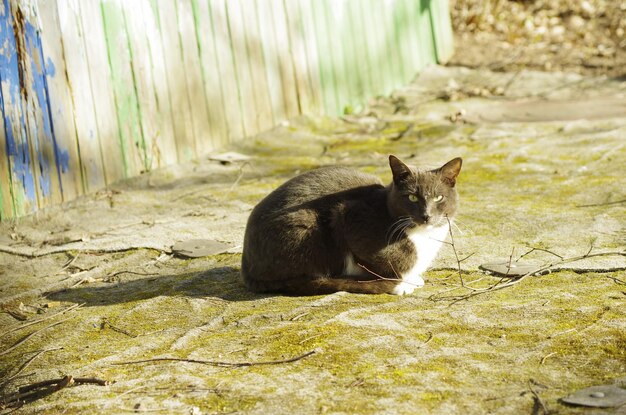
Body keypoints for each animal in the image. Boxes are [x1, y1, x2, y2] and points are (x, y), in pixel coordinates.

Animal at [241, 156, 460, 296]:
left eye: (439, 197)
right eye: (412, 197)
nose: (426, 216)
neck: (421, 236)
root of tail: (247, 268)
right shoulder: (349, 216)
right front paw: (400, 284)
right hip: (307, 226)